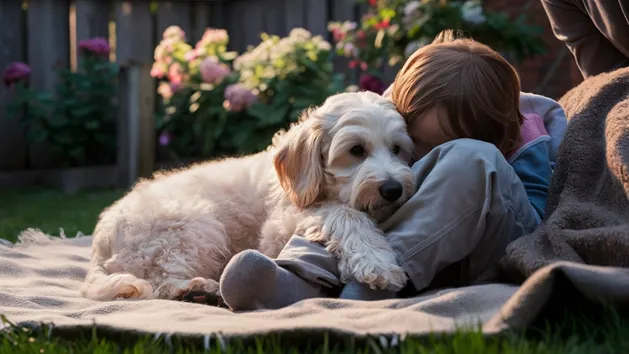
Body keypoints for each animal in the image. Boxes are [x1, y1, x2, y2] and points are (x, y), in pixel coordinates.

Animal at [82, 91, 418, 302]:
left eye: (397, 149)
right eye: (356, 150)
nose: (393, 190)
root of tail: (99, 246)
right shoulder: (277, 230)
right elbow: (342, 212)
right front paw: (377, 264)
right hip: (193, 224)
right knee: (160, 279)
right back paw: (195, 289)